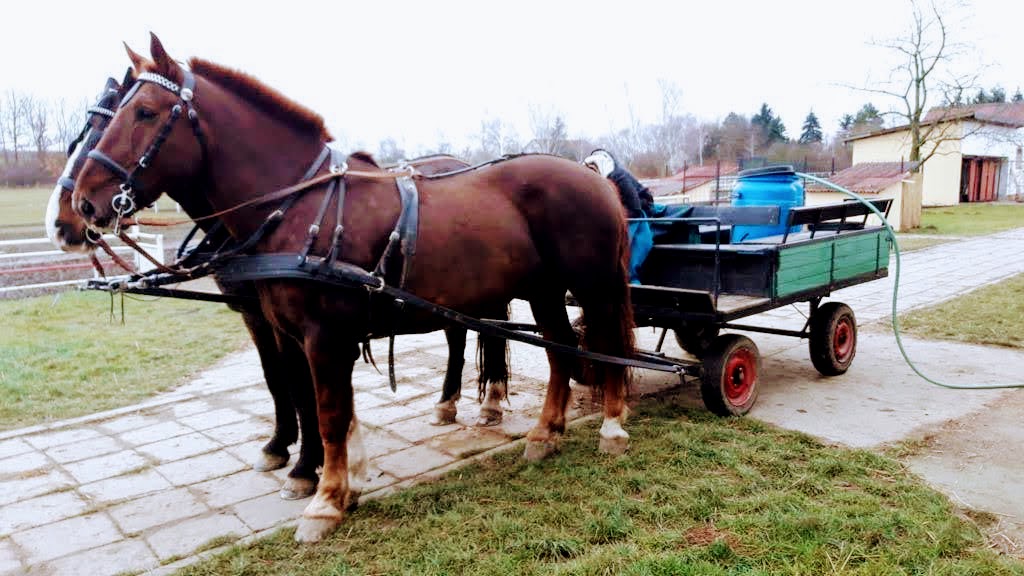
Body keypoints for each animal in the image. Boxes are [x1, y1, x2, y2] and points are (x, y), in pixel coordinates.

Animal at [48, 76, 512, 498]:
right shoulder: (261, 317)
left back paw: (484, 402)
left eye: (135, 114)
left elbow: (299, 386)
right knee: (462, 332)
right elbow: (282, 381)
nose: (66, 218)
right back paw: (452, 402)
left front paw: (312, 463)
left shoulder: (299, 325)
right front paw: (294, 450)